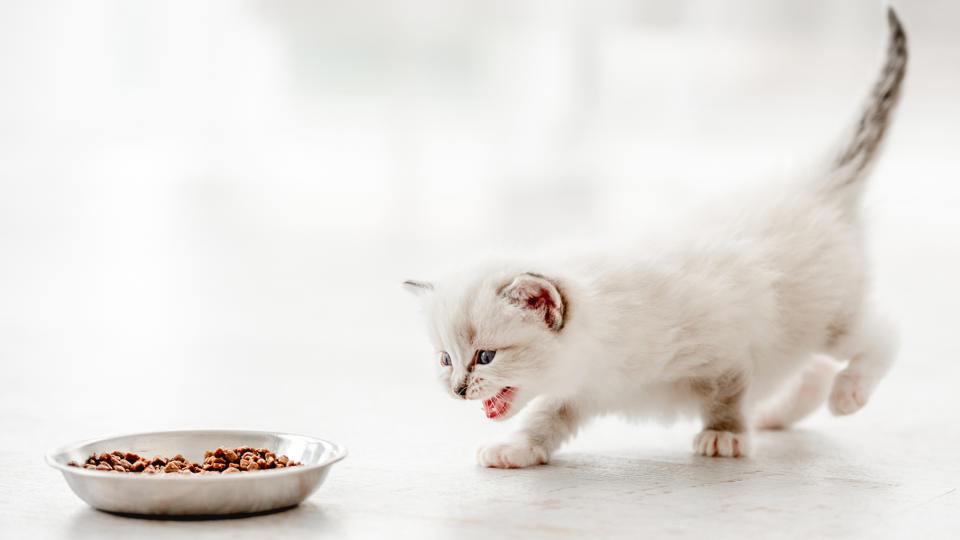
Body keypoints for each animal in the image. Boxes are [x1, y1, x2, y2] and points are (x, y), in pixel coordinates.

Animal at [404, 7, 908, 468]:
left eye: (486, 356)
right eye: (445, 359)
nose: (457, 389)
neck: (601, 344)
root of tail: (814, 184)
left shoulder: (726, 339)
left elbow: (727, 391)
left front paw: (725, 434)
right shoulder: (582, 389)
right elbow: (547, 416)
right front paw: (517, 448)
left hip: (831, 317)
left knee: (882, 336)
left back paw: (847, 393)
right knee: (812, 369)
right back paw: (776, 414)